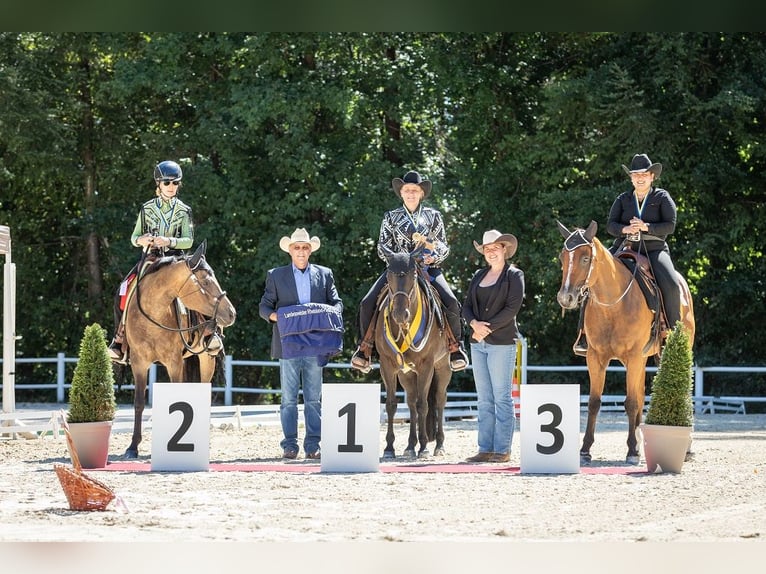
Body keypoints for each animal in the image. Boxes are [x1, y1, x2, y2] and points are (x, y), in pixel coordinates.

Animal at [123, 240, 236, 460]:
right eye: (206, 281)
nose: (232, 313)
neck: (153, 312)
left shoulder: (173, 362)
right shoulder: (139, 363)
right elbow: (139, 403)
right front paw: (133, 446)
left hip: (206, 360)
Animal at [376, 246, 452, 460]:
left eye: (414, 274)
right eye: (389, 275)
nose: (400, 314)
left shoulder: (426, 365)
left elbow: (423, 405)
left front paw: (424, 447)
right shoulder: (387, 366)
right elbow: (391, 405)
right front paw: (389, 448)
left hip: (442, 367)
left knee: (439, 401)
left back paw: (439, 445)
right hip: (407, 374)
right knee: (410, 402)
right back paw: (410, 445)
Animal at [560, 223, 696, 466]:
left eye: (585, 258)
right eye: (562, 257)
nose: (565, 298)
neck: (614, 305)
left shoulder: (632, 358)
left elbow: (631, 403)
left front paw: (632, 450)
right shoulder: (595, 358)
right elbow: (594, 402)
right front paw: (585, 450)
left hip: (672, 352)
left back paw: (687, 449)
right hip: (641, 361)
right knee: (641, 396)